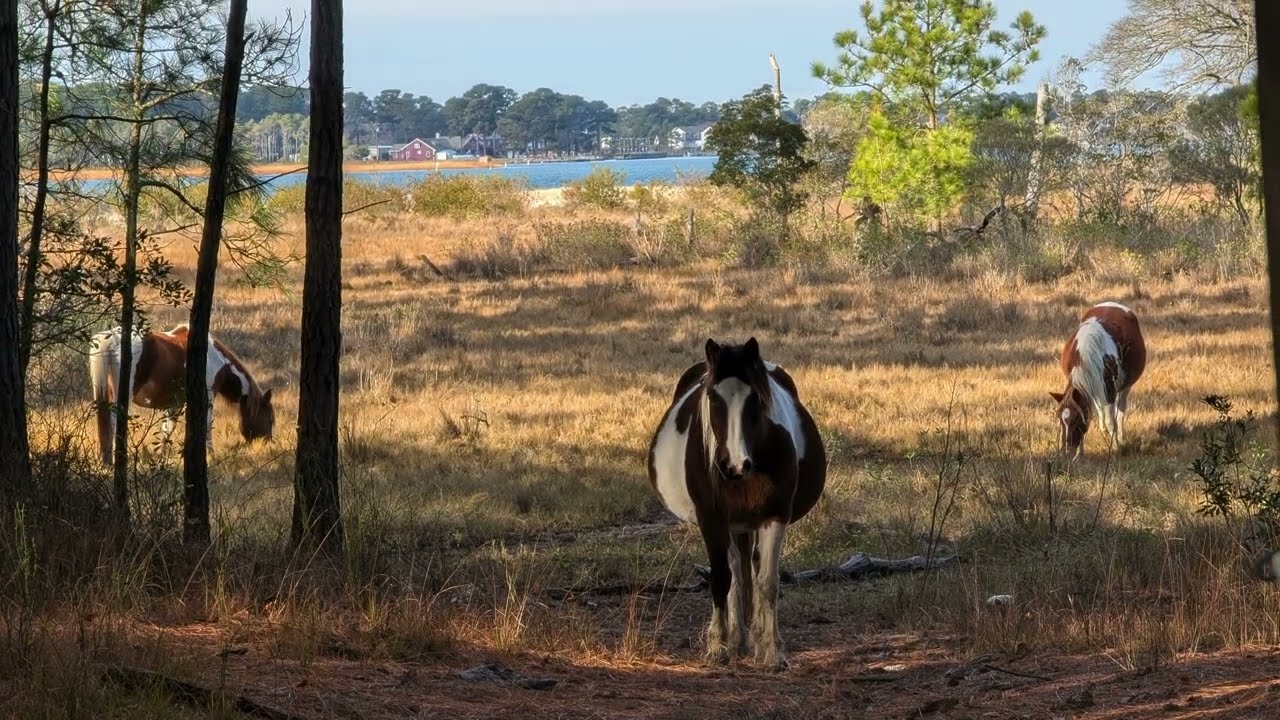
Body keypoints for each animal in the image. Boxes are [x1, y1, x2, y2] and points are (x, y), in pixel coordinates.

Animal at [89, 323, 275, 465]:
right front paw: (210, 454)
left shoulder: (175, 403)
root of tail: (112, 338)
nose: (267, 444)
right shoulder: (207, 397)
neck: (214, 359)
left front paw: (161, 456)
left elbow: (167, 429)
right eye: (270, 419)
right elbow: (206, 426)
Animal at [647, 337, 826, 670]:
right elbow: (721, 579)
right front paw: (717, 647)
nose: (734, 465)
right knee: (733, 574)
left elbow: (767, 583)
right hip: (728, 525)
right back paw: (734, 640)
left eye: (755, 397)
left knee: (747, 573)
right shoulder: (711, 518)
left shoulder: (774, 516)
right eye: (712, 397)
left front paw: (772, 651)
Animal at [1050, 302, 1146, 458]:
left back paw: (1120, 438)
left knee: (1120, 412)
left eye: (1076, 419)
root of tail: (1112, 304)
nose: (1068, 450)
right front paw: (1080, 453)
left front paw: (1116, 447)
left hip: (1124, 388)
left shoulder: (1109, 391)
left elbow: (1111, 421)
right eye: (1060, 418)